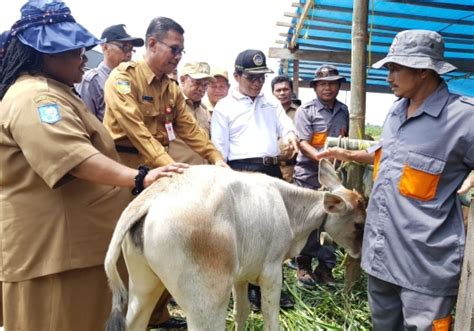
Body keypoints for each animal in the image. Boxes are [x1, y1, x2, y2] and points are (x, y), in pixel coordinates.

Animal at [105, 160, 366, 330]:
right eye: (358, 224)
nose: (360, 253)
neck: (287, 206)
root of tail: (154, 196)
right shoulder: (271, 271)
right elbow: (270, 316)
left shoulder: (240, 277)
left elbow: (243, 311)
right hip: (207, 303)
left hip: (143, 287)